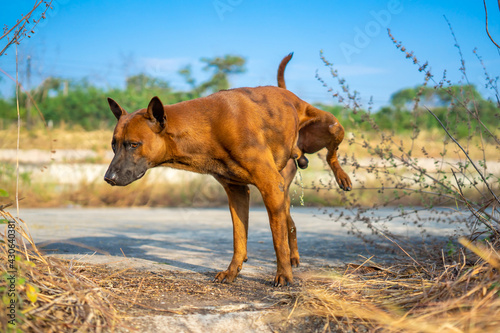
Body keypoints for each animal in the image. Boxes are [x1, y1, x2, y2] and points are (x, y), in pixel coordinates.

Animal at [103, 52, 350, 286]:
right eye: (114, 145)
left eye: (134, 145)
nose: (108, 178)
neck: (208, 126)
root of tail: (290, 96)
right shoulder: (237, 191)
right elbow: (239, 237)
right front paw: (233, 271)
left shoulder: (270, 186)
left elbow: (276, 240)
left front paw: (284, 276)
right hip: (284, 191)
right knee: (290, 221)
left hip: (332, 126)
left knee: (331, 154)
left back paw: (342, 177)